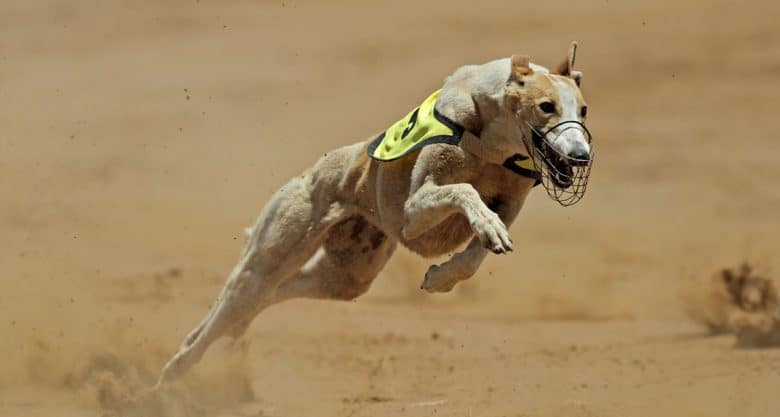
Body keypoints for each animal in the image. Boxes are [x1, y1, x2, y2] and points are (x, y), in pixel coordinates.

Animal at [157, 42, 592, 384]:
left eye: (584, 110)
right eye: (546, 107)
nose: (582, 156)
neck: (492, 136)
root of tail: (311, 173)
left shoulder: (510, 203)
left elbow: (473, 256)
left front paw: (442, 277)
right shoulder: (413, 211)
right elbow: (465, 191)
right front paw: (483, 225)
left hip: (347, 276)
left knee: (267, 298)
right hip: (270, 256)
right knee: (233, 302)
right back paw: (173, 371)